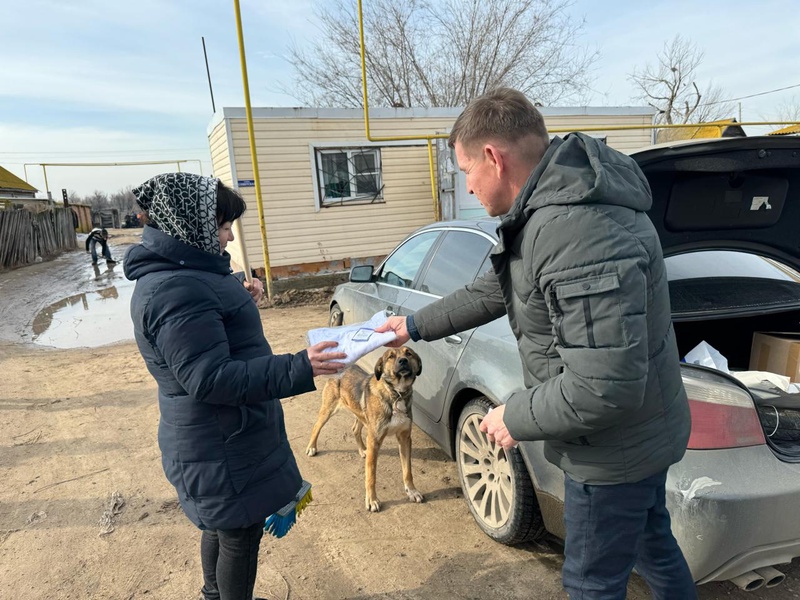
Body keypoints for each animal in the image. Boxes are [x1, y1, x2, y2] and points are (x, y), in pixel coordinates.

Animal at [304, 346, 424, 510]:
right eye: (390, 356)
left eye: (409, 353)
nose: (403, 361)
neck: (396, 393)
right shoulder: (374, 439)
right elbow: (371, 476)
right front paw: (372, 500)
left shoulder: (404, 438)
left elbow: (408, 471)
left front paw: (412, 491)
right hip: (329, 409)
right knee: (316, 426)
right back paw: (312, 447)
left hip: (361, 413)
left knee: (355, 429)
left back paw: (362, 450)